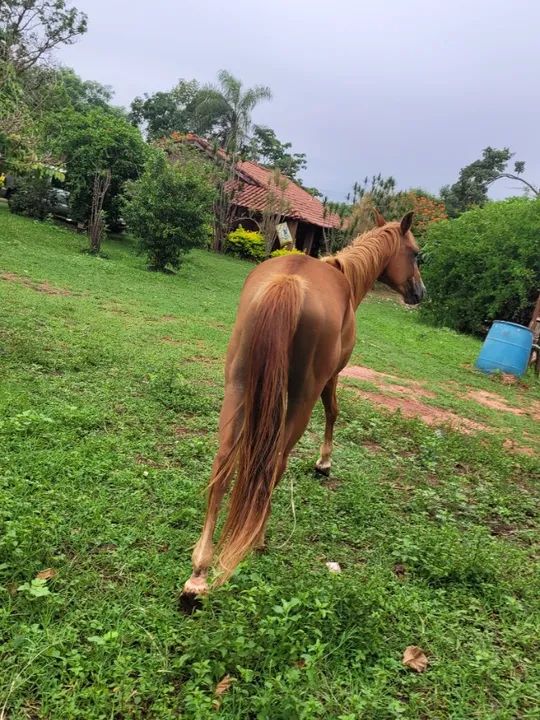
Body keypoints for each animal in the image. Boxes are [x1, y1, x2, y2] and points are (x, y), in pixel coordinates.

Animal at [180, 210, 425, 607]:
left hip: (238, 388)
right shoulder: (331, 378)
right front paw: (324, 463)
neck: (346, 278)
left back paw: (200, 571)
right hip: (300, 399)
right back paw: (256, 538)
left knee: (223, 467)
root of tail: (288, 281)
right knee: (275, 463)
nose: (419, 292)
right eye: (416, 254)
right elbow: (334, 412)